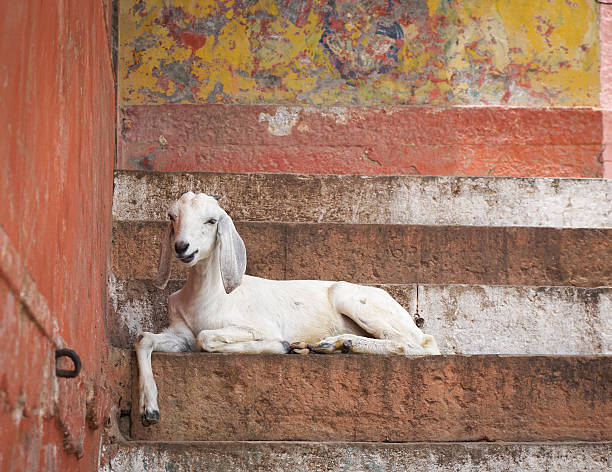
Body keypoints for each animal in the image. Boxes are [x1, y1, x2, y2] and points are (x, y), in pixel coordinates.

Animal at [136, 192, 438, 424]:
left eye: (211, 221)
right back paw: (331, 345)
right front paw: (149, 409)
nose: (182, 247)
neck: (207, 296)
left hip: (354, 300)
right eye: (172, 217)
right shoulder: (180, 335)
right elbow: (144, 339)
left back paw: (339, 344)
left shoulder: (259, 326)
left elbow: (206, 337)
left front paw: (281, 345)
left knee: (413, 344)